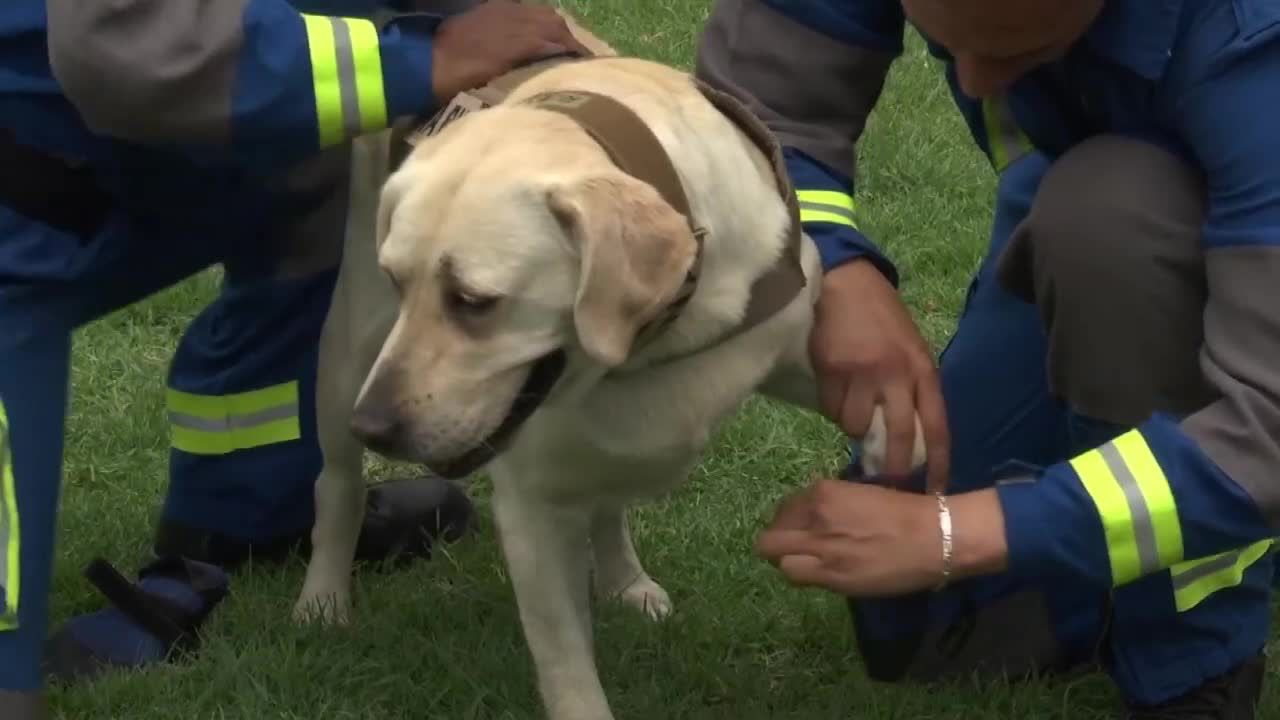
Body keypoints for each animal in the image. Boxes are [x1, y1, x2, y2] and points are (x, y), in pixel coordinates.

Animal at [294, 15, 926, 717]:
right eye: (398, 280)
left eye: (474, 301)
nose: (374, 428)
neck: (654, 341)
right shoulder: (532, 511)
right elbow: (567, 666)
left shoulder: (782, 342)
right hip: (347, 359)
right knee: (337, 484)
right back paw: (323, 600)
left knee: (605, 503)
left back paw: (626, 581)